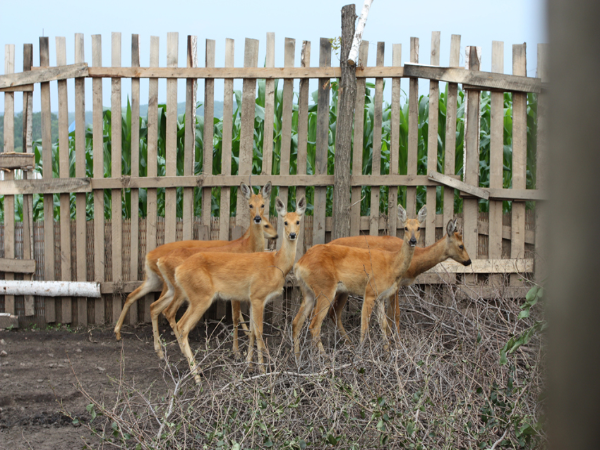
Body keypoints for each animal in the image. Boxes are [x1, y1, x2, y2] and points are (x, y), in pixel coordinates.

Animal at [114, 182, 275, 342]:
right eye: (250, 205)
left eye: (263, 204)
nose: (258, 218)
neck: (246, 245)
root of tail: (151, 257)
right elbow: (237, 312)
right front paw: (246, 333)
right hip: (177, 288)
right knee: (166, 311)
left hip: (155, 280)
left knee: (138, 299)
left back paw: (120, 333)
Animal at [174, 196, 306, 383]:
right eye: (285, 221)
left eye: (298, 221)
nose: (292, 235)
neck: (276, 264)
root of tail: (178, 270)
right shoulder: (258, 296)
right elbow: (259, 332)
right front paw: (262, 369)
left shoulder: (250, 299)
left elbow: (251, 332)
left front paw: (249, 366)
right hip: (200, 297)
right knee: (182, 326)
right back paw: (197, 377)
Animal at [292, 204, 426, 359]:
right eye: (405, 228)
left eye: (419, 228)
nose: (413, 241)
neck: (392, 264)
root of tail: (299, 264)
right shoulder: (370, 292)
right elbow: (365, 326)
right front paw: (361, 355)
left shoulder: (381, 297)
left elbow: (383, 324)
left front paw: (387, 353)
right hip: (324, 288)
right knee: (314, 325)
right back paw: (325, 358)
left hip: (307, 291)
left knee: (296, 322)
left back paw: (297, 358)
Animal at [324, 218, 472, 343]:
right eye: (461, 245)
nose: (469, 261)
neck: (415, 260)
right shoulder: (395, 284)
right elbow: (396, 313)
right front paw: (397, 342)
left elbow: (390, 314)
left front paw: (390, 339)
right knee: (332, 312)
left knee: (334, 312)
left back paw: (348, 343)